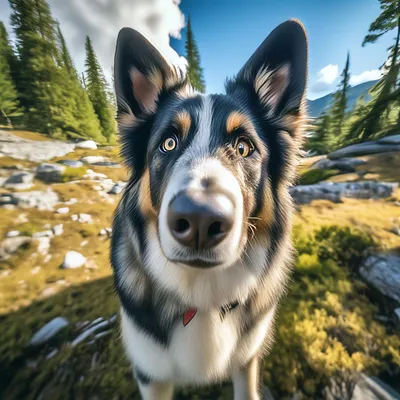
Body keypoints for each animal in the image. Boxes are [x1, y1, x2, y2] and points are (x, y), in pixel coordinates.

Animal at [111, 19, 308, 400]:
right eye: (168, 143)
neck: (200, 295)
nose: (200, 220)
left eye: (244, 147)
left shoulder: (247, 361)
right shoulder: (151, 374)